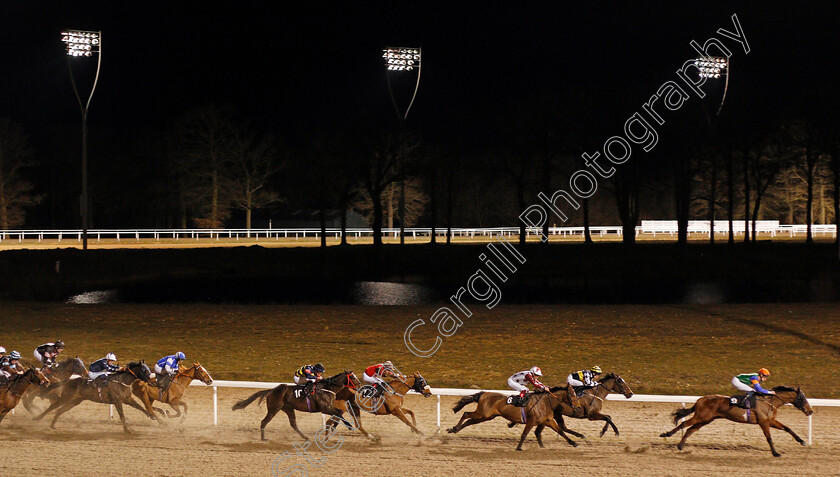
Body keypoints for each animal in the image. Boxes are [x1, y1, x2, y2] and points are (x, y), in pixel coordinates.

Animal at [450, 388, 580, 448]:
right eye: (572, 394)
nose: (578, 407)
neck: (545, 402)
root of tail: (484, 393)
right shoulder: (531, 421)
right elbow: (524, 434)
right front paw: (519, 447)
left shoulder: (548, 421)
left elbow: (561, 432)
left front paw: (573, 443)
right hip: (482, 413)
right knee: (466, 414)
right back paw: (453, 428)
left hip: (486, 416)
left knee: (470, 421)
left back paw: (454, 429)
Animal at [660, 384, 812, 458]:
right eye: (803, 398)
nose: (810, 411)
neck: (769, 401)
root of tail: (700, 399)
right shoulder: (763, 422)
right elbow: (769, 438)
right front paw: (776, 453)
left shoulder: (771, 421)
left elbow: (788, 428)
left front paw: (802, 441)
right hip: (700, 417)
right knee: (684, 423)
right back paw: (666, 434)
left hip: (706, 420)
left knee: (691, 429)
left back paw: (680, 446)